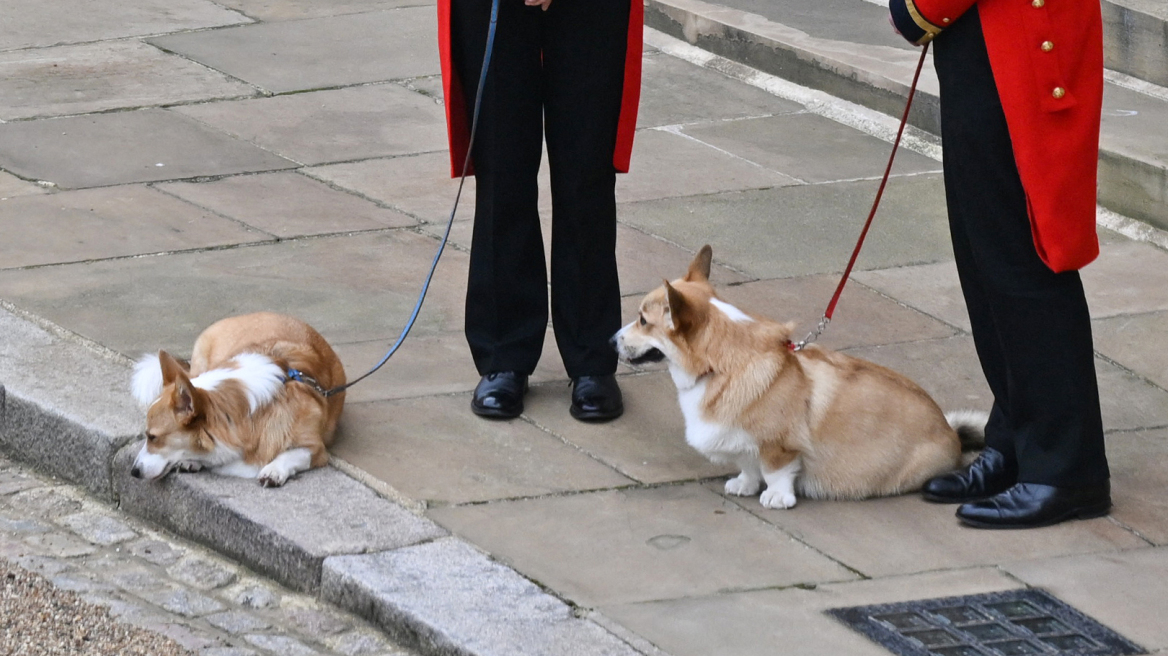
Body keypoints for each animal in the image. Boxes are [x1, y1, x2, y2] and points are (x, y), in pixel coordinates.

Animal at [131, 310, 345, 485]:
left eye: (153, 437)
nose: (134, 472)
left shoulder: (315, 449)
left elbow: (291, 455)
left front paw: (274, 470)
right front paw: (192, 460)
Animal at [612, 245, 985, 506]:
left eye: (643, 321)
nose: (610, 340)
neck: (722, 365)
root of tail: (951, 432)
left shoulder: (780, 445)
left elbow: (776, 471)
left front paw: (777, 497)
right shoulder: (741, 442)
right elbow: (748, 465)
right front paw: (744, 485)